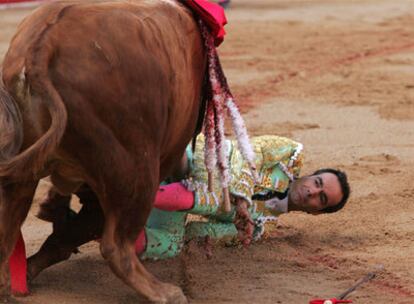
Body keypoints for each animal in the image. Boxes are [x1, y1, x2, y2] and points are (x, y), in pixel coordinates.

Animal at [0, 1, 206, 302]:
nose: (184, 169)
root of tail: (43, 45)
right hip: (136, 170)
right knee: (115, 245)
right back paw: (165, 292)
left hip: (23, 175)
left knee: (6, 233)